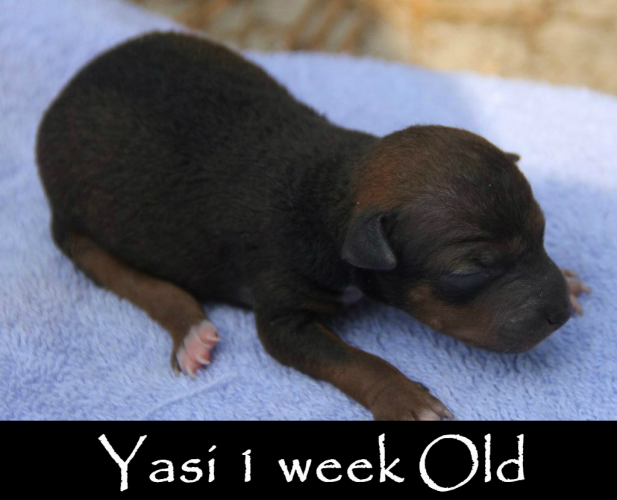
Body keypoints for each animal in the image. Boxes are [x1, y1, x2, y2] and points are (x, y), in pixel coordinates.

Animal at [36, 32, 589, 420]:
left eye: (543, 233)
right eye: (469, 270)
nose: (559, 313)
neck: (333, 193)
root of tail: (64, 95)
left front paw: (567, 277)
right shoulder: (282, 311)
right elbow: (350, 359)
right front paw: (406, 398)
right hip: (78, 224)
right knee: (123, 274)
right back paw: (190, 331)